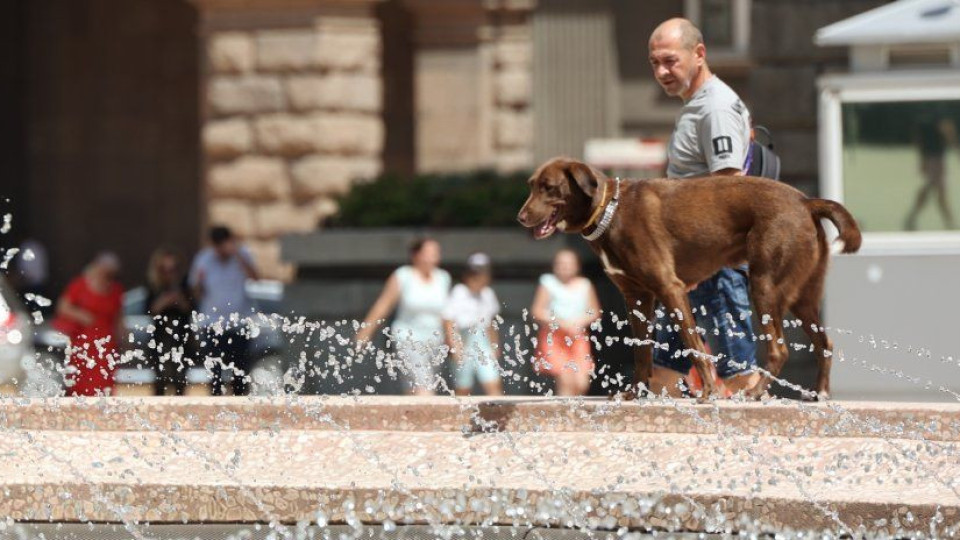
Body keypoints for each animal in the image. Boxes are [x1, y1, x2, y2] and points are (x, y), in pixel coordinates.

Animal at [516, 157, 864, 400]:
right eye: (531, 185)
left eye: (549, 187)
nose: (520, 217)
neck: (610, 212)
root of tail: (806, 201)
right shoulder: (637, 298)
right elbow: (642, 351)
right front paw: (636, 393)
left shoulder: (671, 289)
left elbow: (694, 344)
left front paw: (708, 391)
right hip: (804, 297)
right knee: (825, 344)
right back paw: (820, 393)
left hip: (765, 286)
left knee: (780, 349)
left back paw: (754, 392)